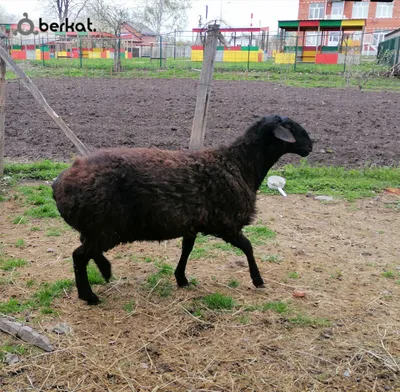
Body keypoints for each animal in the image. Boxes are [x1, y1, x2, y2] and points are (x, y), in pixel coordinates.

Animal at [50, 115, 312, 304]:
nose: (310, 146)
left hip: (97, 228)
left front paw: (181, 278)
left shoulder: (191, 222)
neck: (241, 165)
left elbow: (187, 249)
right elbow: (248, 247)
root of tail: (58, 184)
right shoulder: (226, 223)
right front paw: (257, 280)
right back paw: (89, 295)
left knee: (86, 251)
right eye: (291, 128)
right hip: (105, 228)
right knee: (79, 256)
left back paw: (104, 271)